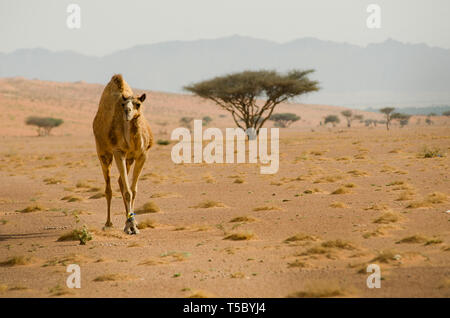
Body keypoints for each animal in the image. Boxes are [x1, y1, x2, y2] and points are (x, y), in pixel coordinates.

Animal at [92, 74, 153, 234]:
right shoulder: (118, 152)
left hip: (129, 159)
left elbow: (133, 190)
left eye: (138, 104)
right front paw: (130, 226)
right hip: (103, 153)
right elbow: (128, 192)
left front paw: (134, 224)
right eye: (123, 105)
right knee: (108, 188)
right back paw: (108, 223)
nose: (127, 112)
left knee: (120, 182)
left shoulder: (142, 154)